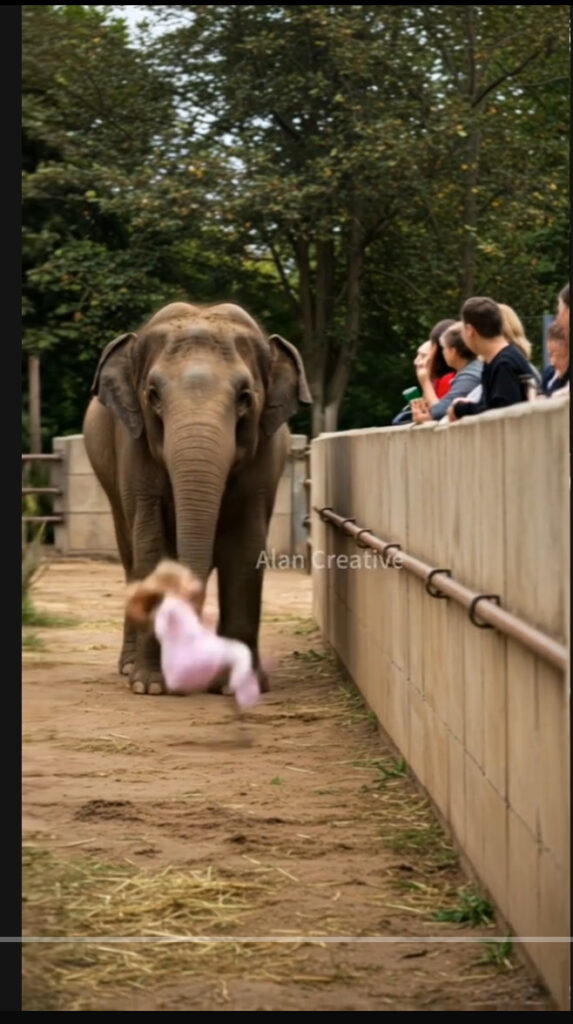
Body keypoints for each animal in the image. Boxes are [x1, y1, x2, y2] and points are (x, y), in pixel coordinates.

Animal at [82, 301, 312, 695]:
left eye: (245, 397)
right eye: (153, 395)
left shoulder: (264, 459)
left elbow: (245, 548)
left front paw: (236, 687)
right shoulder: (133, 449)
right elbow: (151, 544)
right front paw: (150, 687)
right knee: (130, 556)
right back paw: (127, 668)